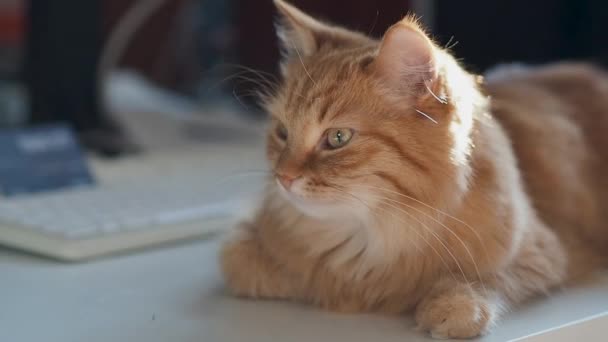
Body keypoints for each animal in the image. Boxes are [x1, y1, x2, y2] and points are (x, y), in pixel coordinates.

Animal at [221, 0, 608, 336]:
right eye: (282, 133)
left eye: (337, 138)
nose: (283, 177)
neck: (369, 237)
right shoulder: (243, 248)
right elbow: (245, 265)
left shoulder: (540, 252)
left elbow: (479, 279)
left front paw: (451, 309)